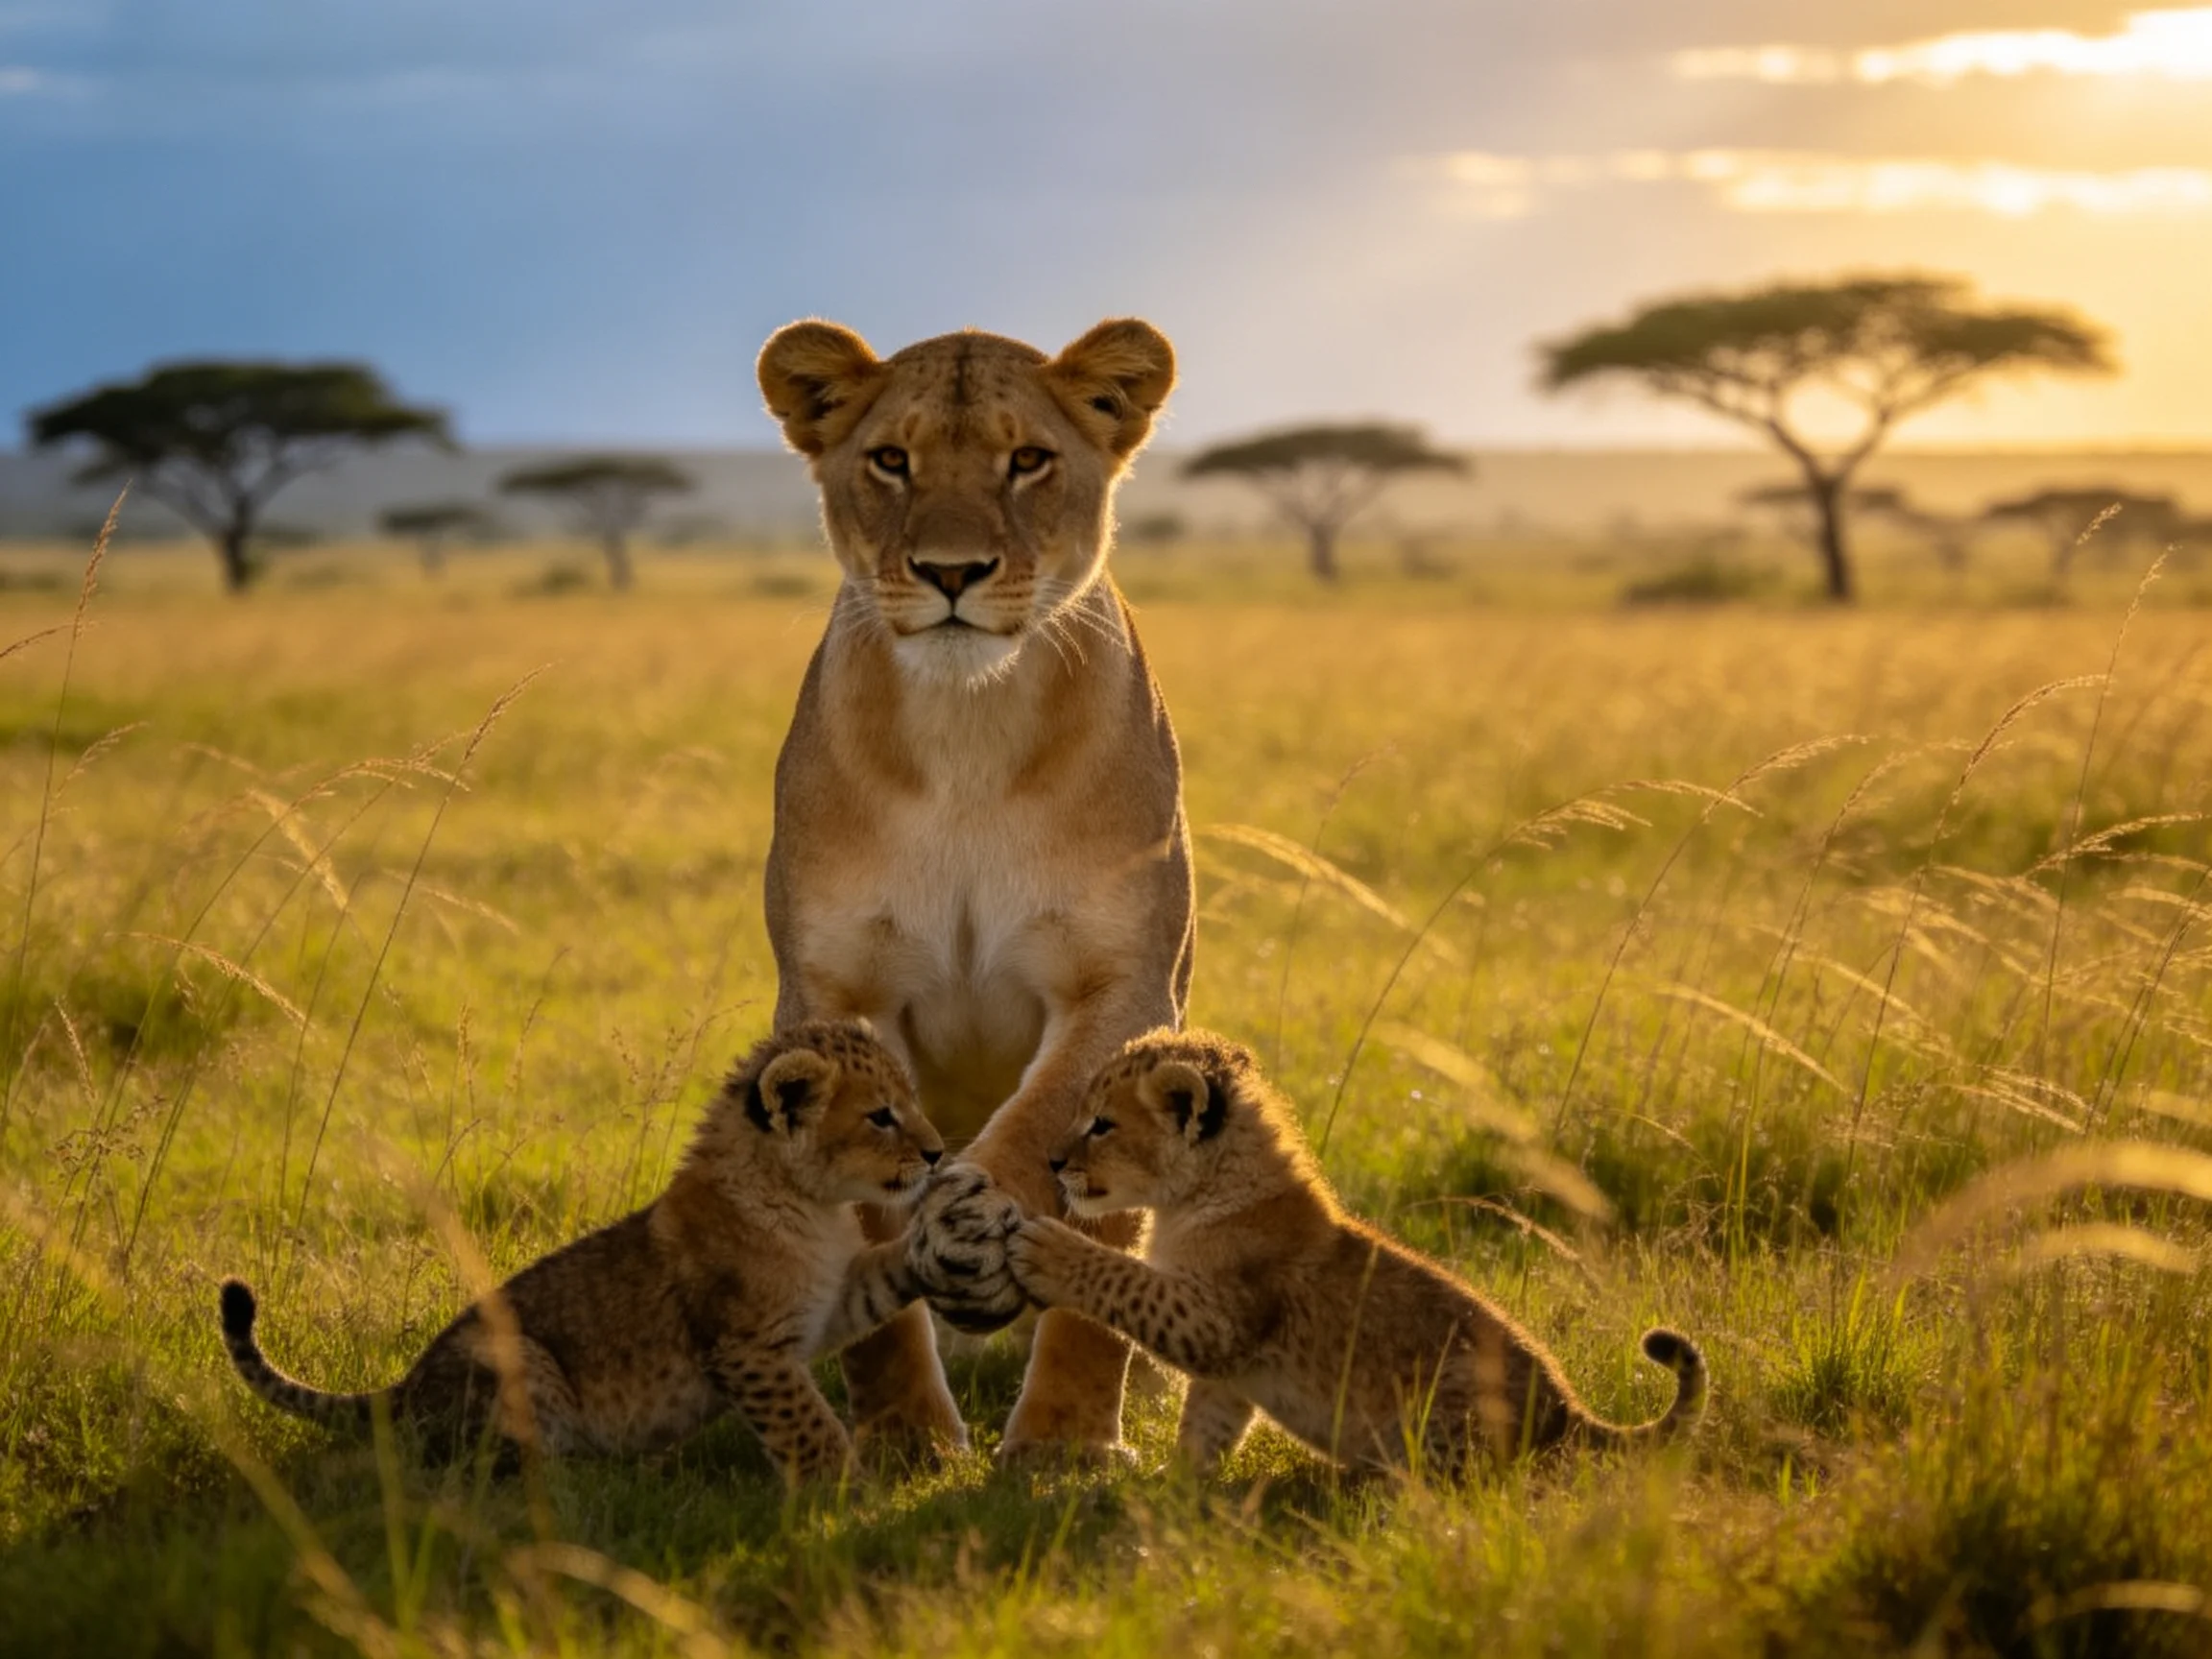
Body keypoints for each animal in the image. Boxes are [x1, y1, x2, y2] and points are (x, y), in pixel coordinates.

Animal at [220, 1020, 942, 1486]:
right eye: (881, 1116)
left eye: (912, 1102)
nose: (936, 1152)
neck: (812, 1207)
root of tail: (401, 1388)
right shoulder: (747, 1347)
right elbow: (808, 1425)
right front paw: (849, 1494)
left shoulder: (827, 1302)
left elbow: (882, 1279)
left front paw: (941, 1244)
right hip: (515, 1359)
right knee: (489, 1479)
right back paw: (600, 1486)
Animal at [754, 316, 1194, 1461]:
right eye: (890, 460)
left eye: (1027, 459)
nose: (952, 571)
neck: (966, 730)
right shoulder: (833, 992)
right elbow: (868, 1233)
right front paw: (907, 1440)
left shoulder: (1124, 984)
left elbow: (1053, 1140)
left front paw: (1064, 1449)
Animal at [1001, 1030, 1709, 1478]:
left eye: (1102, 1124)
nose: (1053, 1162)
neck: (1191, 1196)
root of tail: (1571, 1414)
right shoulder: (1230, 1368)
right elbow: (1206, 1425)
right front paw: (1173, 1493)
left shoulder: (1219, 1319)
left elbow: (1127, 1283)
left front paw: (1048, 1250)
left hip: (1456, 1390)